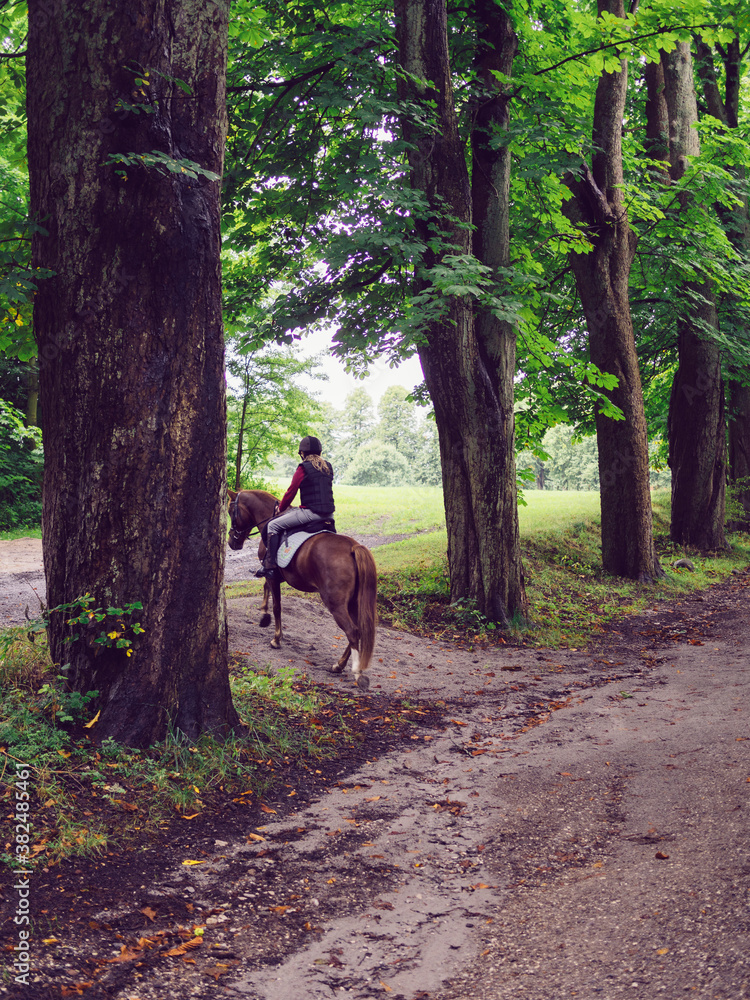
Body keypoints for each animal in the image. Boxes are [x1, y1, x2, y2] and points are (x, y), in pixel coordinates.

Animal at [227, 488, 377, 691]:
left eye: (230, 512)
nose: (231, 542)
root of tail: (354, 547)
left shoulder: (272, 573)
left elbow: (277, 606)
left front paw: (276, 637)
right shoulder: (272, 573)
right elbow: (266, 588)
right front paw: (264, 615)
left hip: (335, 603)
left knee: (352, 631)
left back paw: (357, 673)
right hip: (353, 602)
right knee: (358, 631)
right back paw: (338, 665)